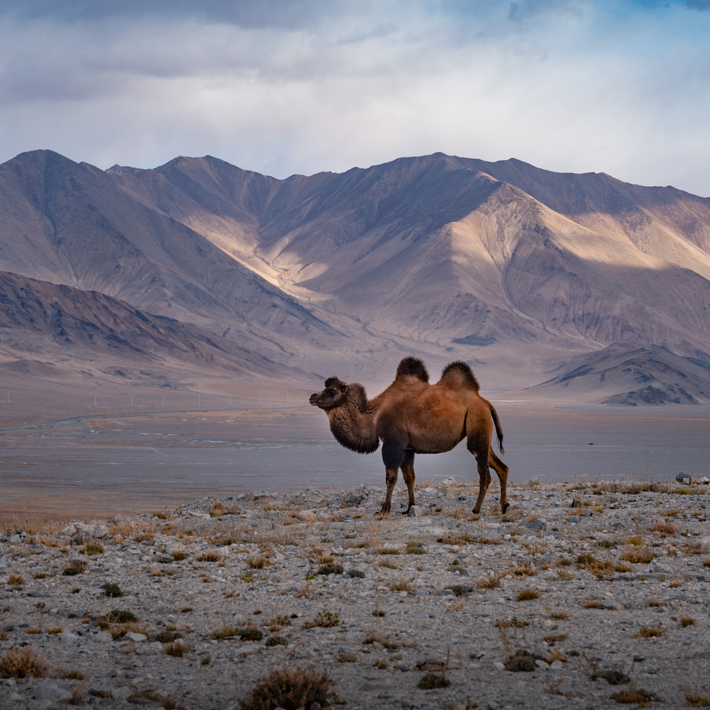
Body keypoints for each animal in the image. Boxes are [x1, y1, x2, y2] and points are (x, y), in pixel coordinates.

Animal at [308, 358, 508, 516]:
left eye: (331, 390)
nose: (312, 396)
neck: (374, 415)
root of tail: (485, 403)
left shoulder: (392, 444)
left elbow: (391, 478)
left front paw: (384, 509)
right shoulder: (408, 447)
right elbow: (409, 476)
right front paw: (410, 507)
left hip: (476, 422)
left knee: (484, 473)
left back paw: (476, 509)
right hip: (482, 433)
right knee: (501, 466)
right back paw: (504, 506)